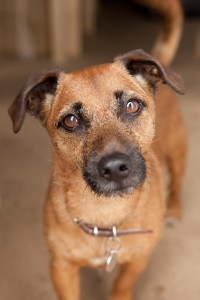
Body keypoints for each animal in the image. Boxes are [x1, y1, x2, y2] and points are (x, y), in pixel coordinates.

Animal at [7, 49, 186, 300]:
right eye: (70, 121)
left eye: (132, 105)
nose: (115, 167)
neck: (104, 211)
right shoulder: (61, 268)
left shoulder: (138, 259)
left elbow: (121, 285)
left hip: (177, 151)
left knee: (177, 180)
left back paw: (174, 210)